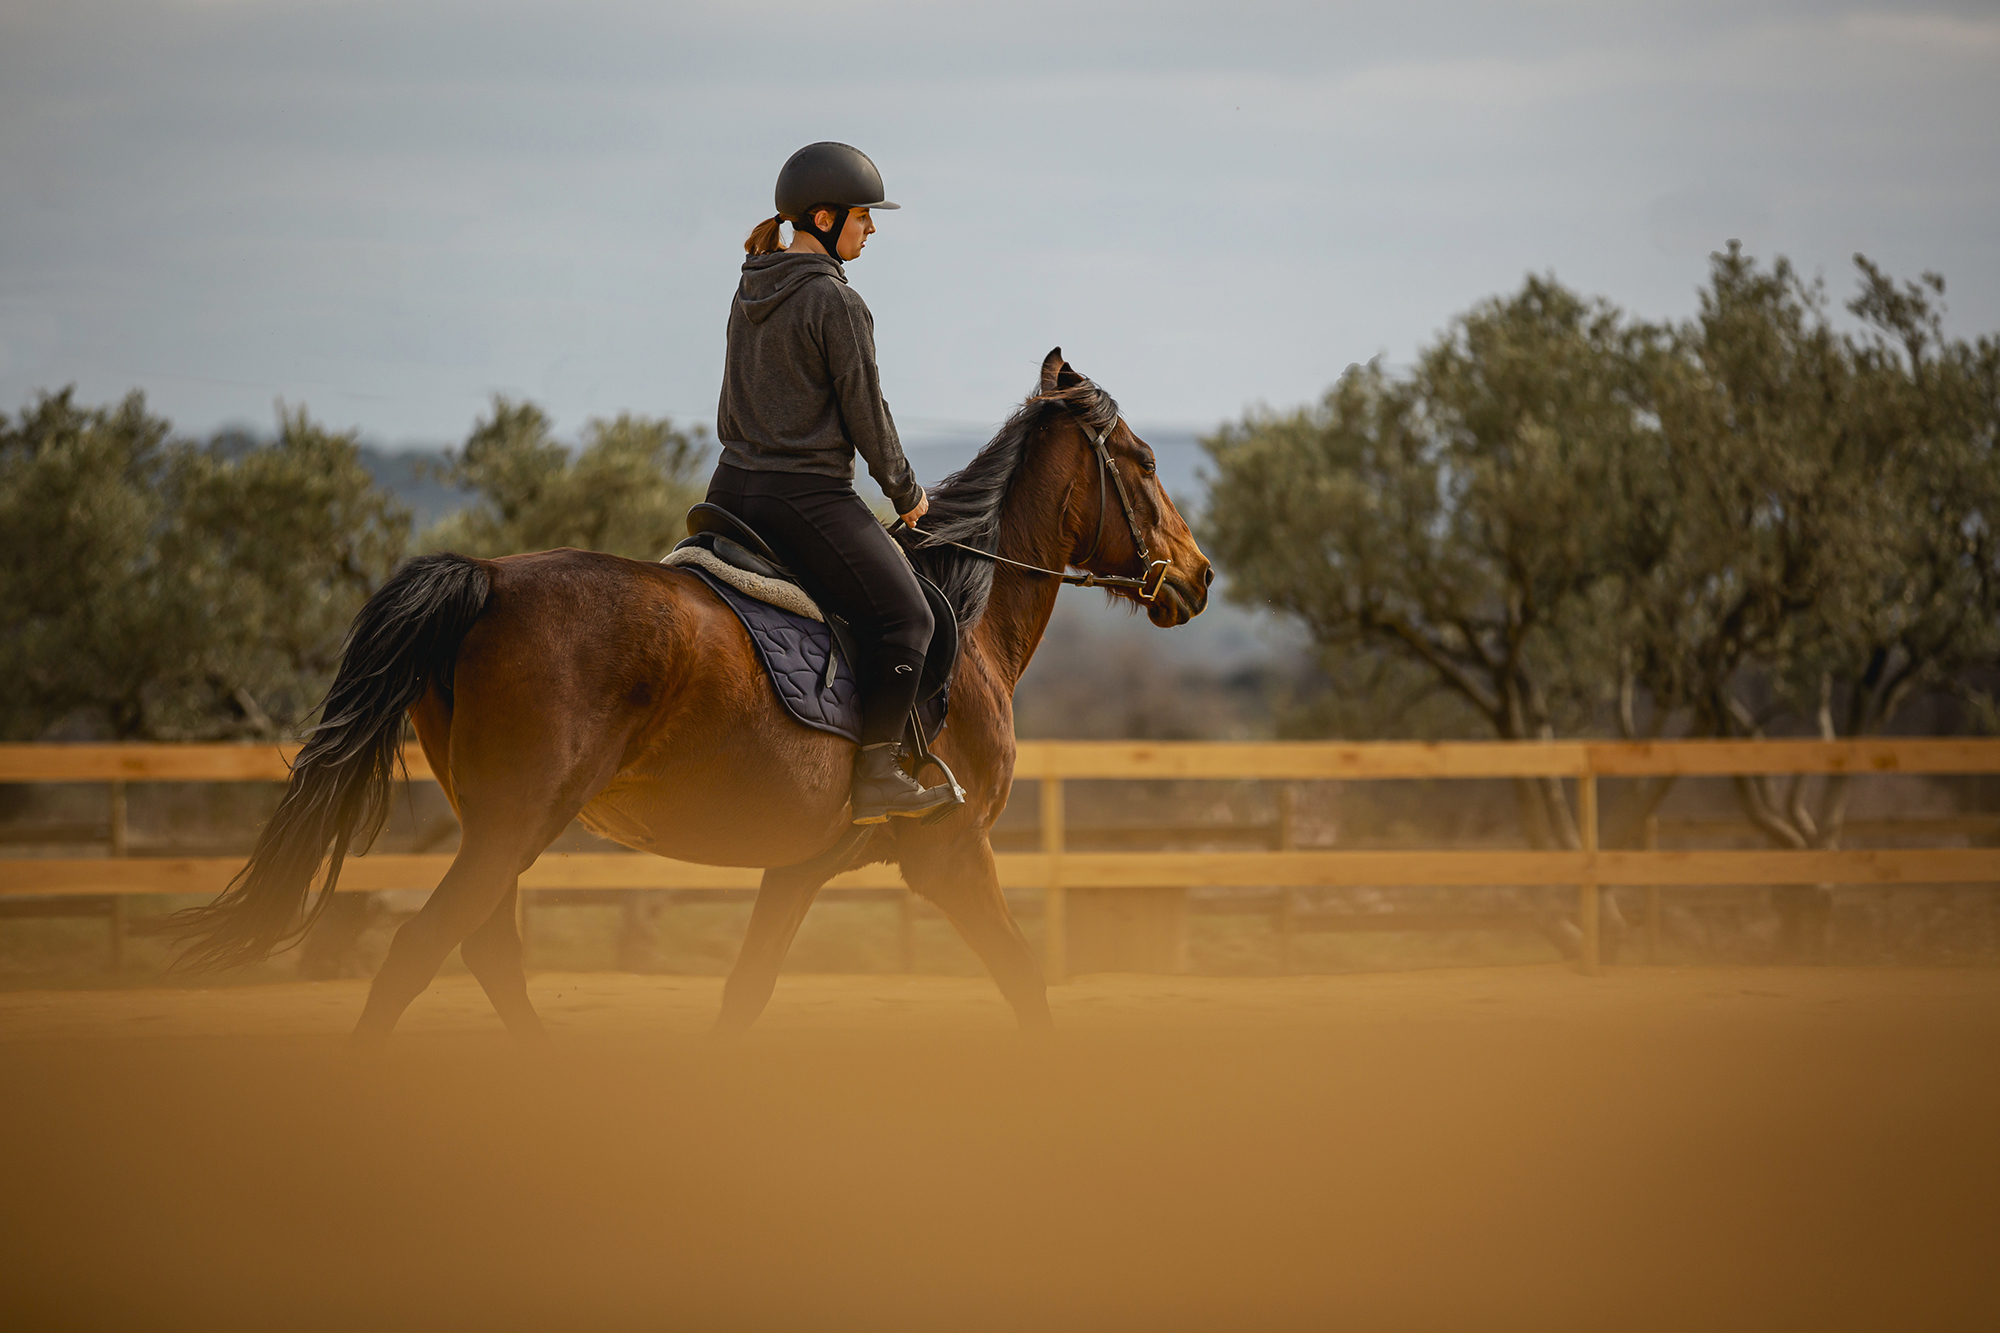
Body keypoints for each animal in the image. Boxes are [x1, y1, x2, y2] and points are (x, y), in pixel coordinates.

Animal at [168, 350, 1200, 1040]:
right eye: (1146, 461)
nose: (1198, 576)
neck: (967, 613)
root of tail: (488, 578)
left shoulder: (801, 866)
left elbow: (743, 997)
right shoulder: (950, 853)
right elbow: (1028, 987)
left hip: (495, 827)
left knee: (487, 955)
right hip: (514, 822)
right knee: (419, 955)